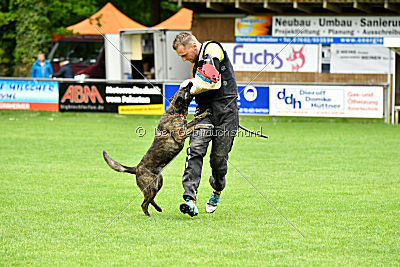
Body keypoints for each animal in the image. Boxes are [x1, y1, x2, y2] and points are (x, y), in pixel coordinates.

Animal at [103, 83, 212, 218]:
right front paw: (206, 125)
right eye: (185, 89)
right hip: (151, 187)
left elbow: (195, 120)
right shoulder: (180, 135)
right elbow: (196, 125)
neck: (174, 112)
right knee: (144, 203)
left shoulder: (185, 126)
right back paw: (148, 215)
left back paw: (158, 208)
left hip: (158, 184)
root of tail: (136, 168)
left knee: (150, 199)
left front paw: (205, 113)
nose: (190, 83)